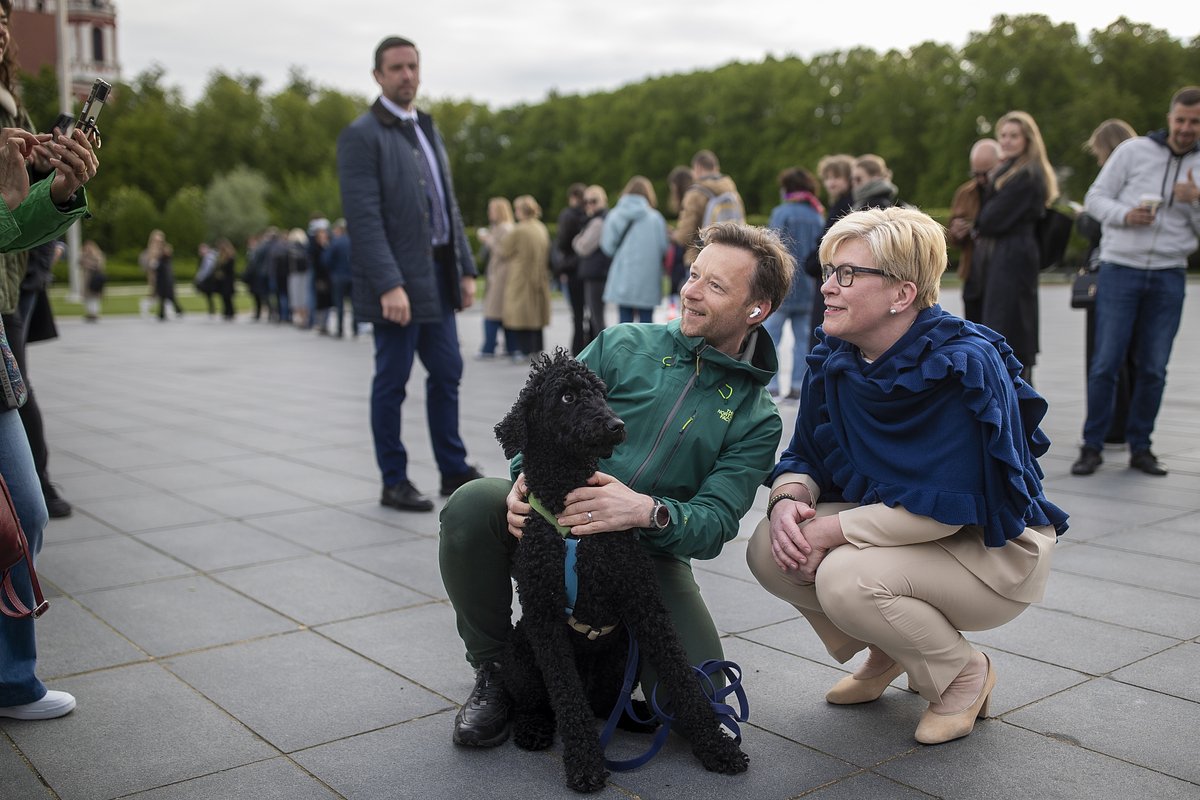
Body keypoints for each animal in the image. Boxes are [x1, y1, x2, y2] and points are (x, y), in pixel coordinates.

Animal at [492, 350, 744, 796]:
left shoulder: (646, 606)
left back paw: (636, 717)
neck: (568, 517)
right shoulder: (544, 618)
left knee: (606, 702)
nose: (616, 425)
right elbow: (567, 697)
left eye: (601, 393)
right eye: (567, 396)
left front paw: (717, 747)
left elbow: (683, 677)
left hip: (622, 652)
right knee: (539, 701)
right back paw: (533, 728)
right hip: (520, 651)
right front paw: (584, 764)